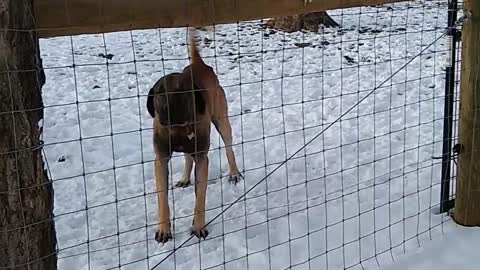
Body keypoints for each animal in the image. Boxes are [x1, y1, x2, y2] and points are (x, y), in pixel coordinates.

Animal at [145, 31, 244, 243]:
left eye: (183, 91)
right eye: (160, 92)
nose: (170, 111)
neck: (179, 130)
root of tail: (200, 66)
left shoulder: (202, 158)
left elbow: (200, 198)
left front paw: (198, 226)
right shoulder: (161, 159)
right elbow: (163, 199)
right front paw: (164, 229)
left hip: (222, 121)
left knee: (229, 147)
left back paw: (233, 173)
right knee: (187, 157)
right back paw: (184, 178)